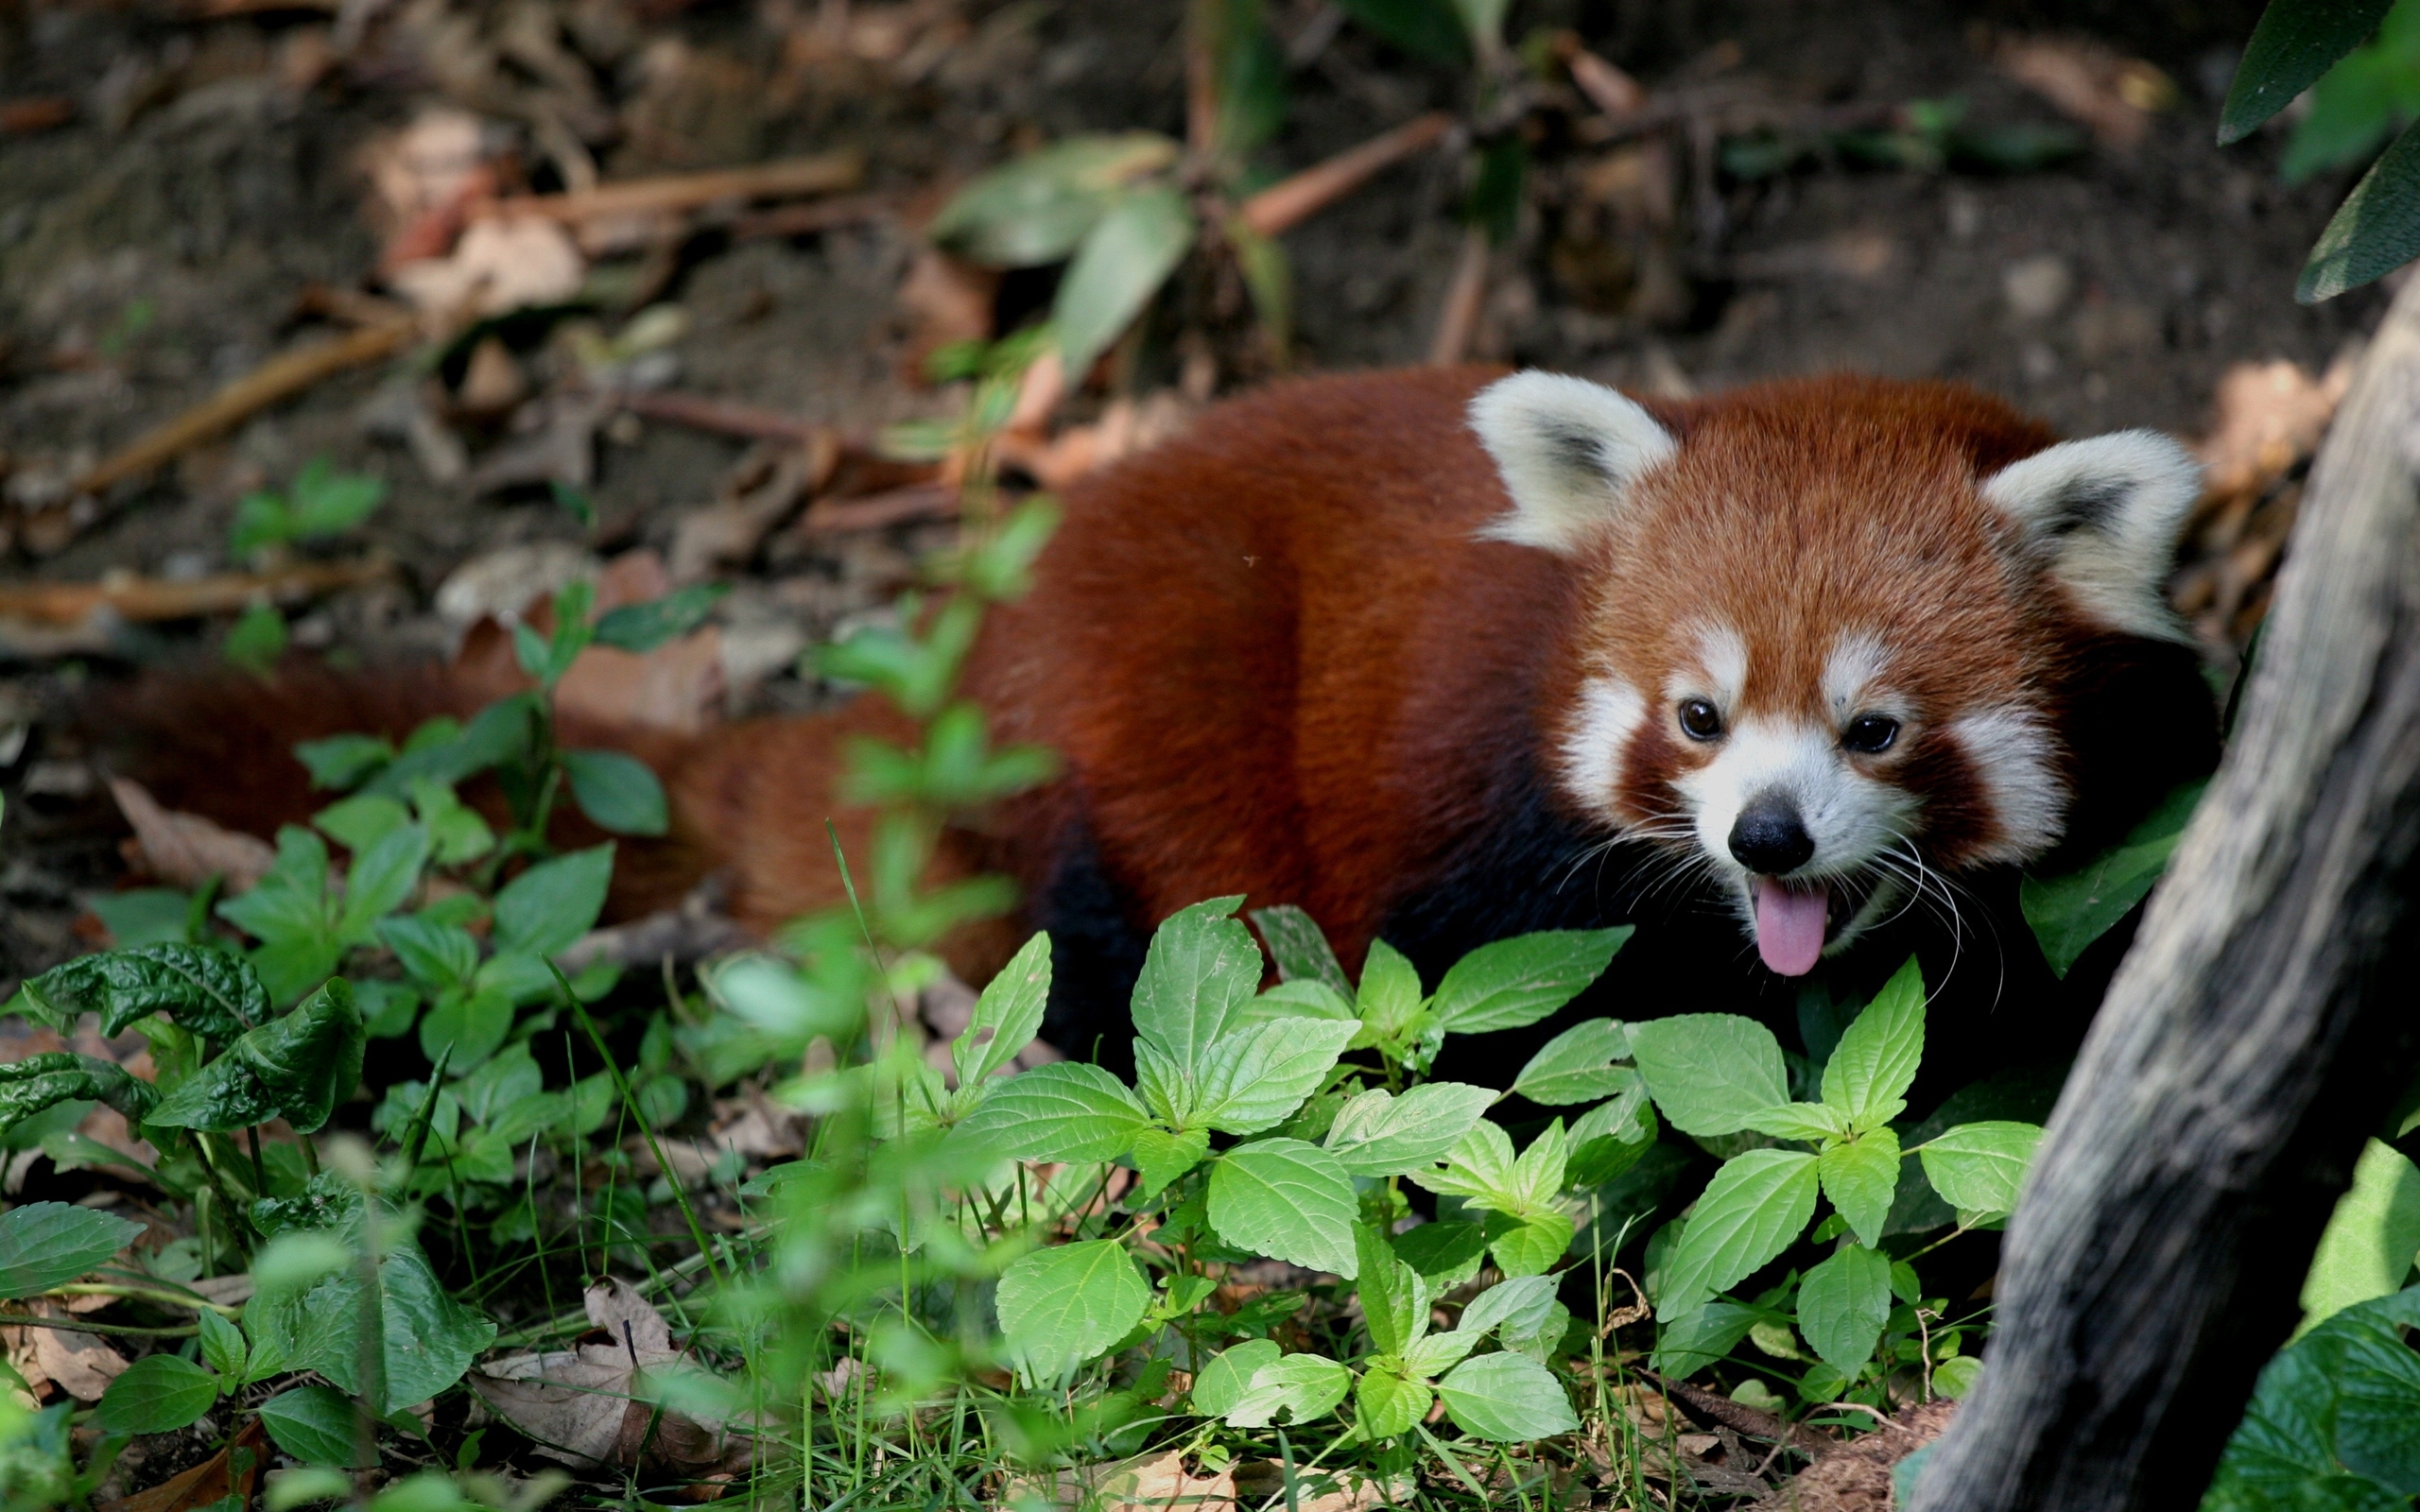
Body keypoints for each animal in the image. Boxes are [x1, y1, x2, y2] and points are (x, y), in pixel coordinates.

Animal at [117, 363, 2226, 1074]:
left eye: (1872, 732)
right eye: (1698, 717)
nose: (1765, 839)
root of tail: (950, 649)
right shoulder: (1489, 833)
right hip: (1135, 708)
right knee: (1107, 927)